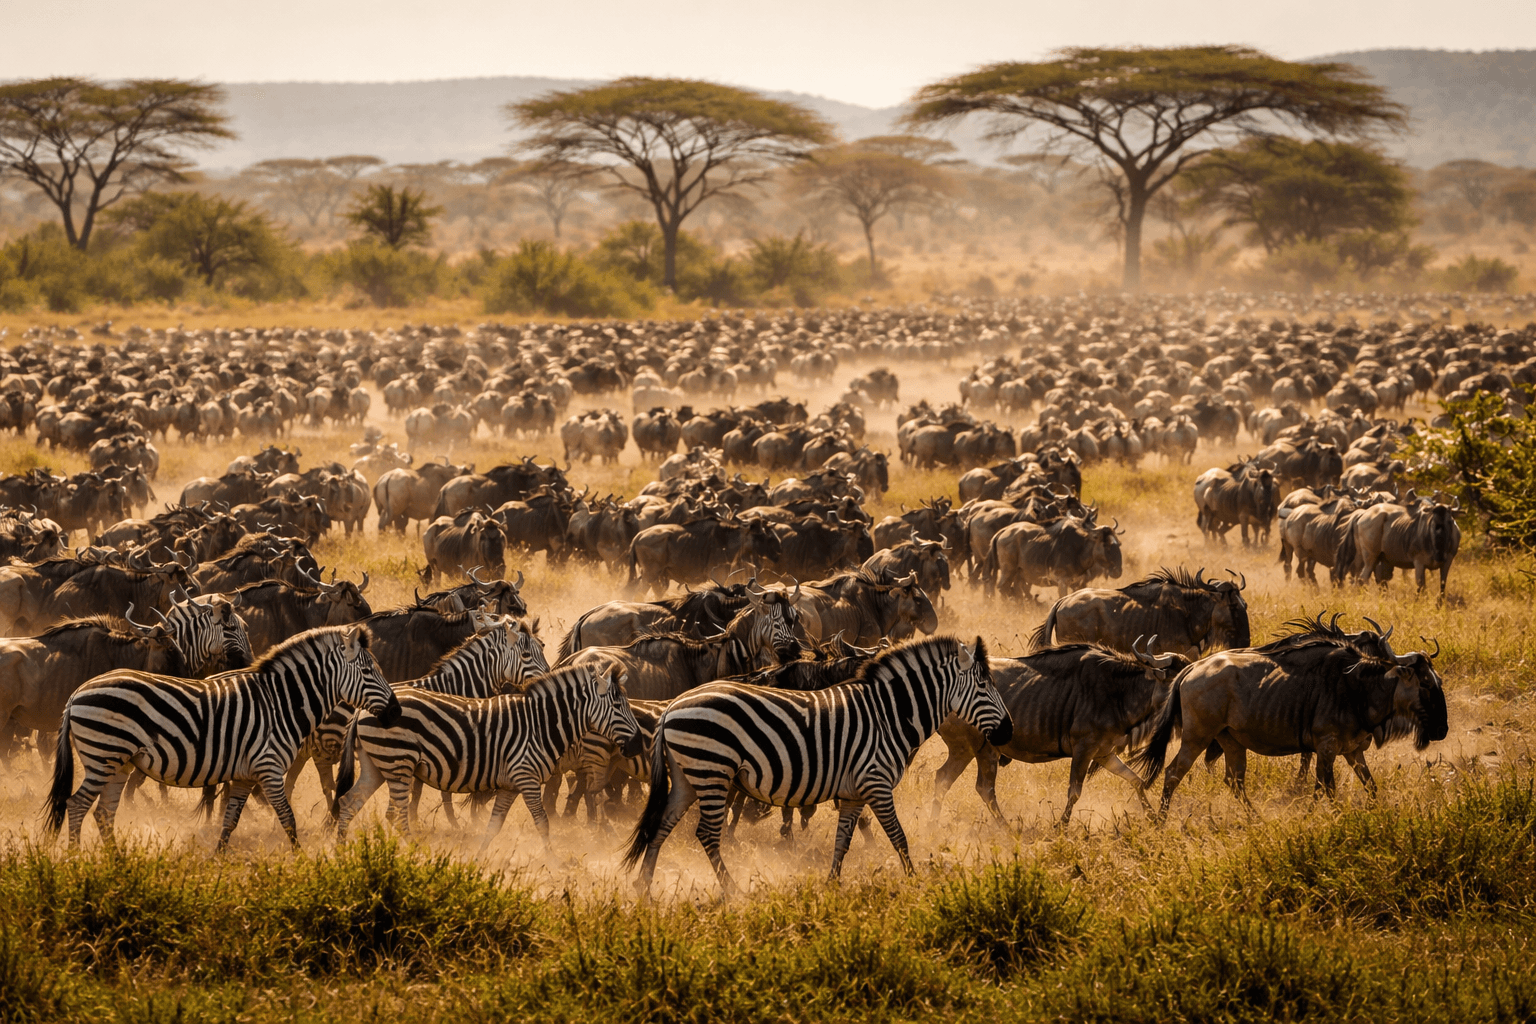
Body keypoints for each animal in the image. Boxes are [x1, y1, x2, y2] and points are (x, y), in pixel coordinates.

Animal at [46, 625, 399, 850]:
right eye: (369, 672)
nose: (396, 713)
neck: (281, 703)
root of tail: (77, 692)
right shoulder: (269, 769)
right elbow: (288, 820)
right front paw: (301, 862)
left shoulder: (245, 775)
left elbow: (229, 822)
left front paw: (217, 862)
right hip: (103, 755)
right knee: (77, 805)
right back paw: (76, 861)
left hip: (119, 762)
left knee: (103, 813)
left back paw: (116, 862)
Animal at [332, 665, 642, 852]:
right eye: (618, 705)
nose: (639, 743)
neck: (541, 725)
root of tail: (361, 710)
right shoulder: (527, 778)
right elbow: (542, 822)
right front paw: (553, 863)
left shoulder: (511, 785)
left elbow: (494, 826)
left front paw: (479, 861)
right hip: (398, 762)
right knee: (396, 815)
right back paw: (418, 853)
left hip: (377, 765)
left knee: (349, 803)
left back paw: (342, 852)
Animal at [622, 635, 1013, 894]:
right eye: (983, 685)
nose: (1008, 730)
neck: (888, 716)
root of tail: (674, 705)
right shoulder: (876, 782)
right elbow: (898, 837)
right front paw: (916, 883)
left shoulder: (854, 793)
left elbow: (843, 842)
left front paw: (831, 885)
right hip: (712, 771)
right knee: (705, 833)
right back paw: (732, 890)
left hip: (688, 777)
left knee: (661, 825)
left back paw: (643, 887)